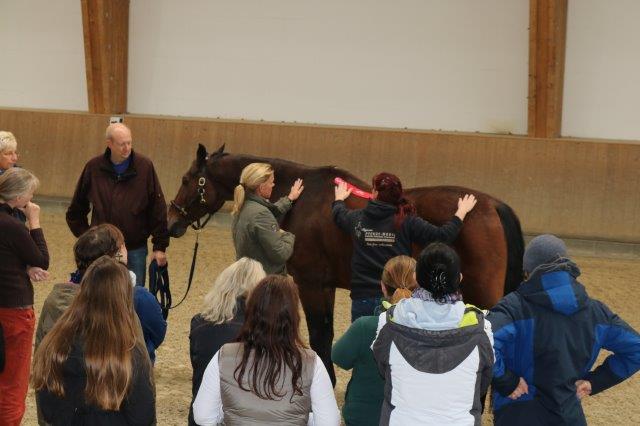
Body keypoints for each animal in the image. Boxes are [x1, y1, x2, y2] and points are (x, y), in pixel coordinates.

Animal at [168, 145, 524, 384]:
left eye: (187, 179)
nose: (171, 222)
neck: (304, 202)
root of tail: (491, 205)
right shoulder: (325, 286)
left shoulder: (311, 284)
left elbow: (320, 336)